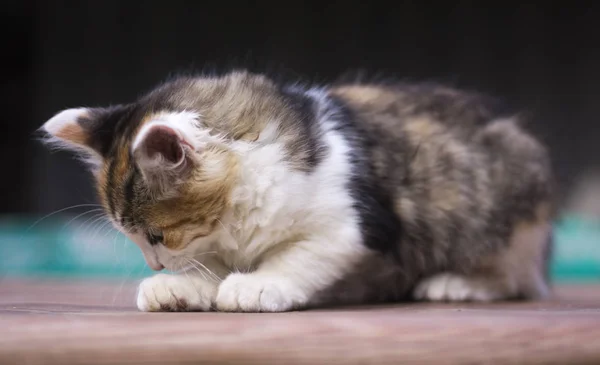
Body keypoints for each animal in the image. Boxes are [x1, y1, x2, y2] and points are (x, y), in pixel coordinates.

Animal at [42, 69, 556, 312]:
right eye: (137, 240)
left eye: (156, 237)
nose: (155, 265)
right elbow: (212, 263)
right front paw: (182, 286)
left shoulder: (347, 226)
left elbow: (299, 255)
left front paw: (258, 283)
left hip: (503, 208)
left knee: (519, 278)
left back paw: (458, 282)